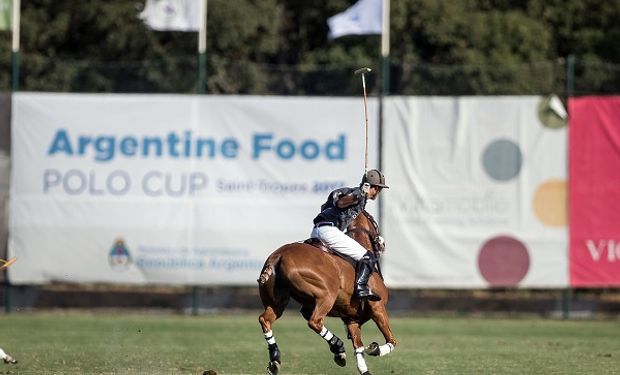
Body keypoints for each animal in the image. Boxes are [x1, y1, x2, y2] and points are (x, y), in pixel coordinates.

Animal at [256, 212, 398, 375]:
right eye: (374, 221)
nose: (382, 244)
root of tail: (278, 256)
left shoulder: (351, 319)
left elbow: (359, 347)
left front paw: (364, 368)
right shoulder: (378, 308)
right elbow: (391, 340)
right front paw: (374, 349)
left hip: (278, 302)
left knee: (265, 319)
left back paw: (275, 359)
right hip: (327, 295)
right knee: (315, 321)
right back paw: (338, 347)